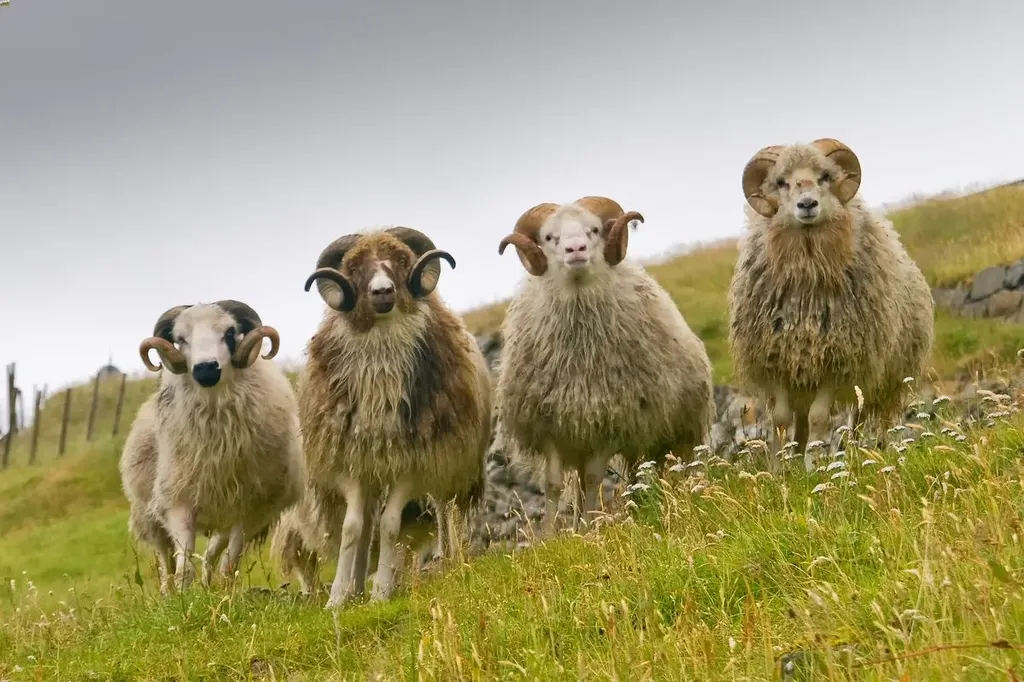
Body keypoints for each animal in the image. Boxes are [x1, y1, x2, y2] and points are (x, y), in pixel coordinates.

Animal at [117, 299, 303, 589]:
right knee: (166, 561)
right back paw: (168, 592)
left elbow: (230, 564)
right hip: (149, 515)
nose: (205, 368)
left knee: (212, 554)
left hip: (230, 518)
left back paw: (208, 586)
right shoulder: (178, 502)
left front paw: (225, 592)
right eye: (180, 339)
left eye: (229, 332)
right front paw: (182, 597)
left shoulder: (250, 509)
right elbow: (183, 567)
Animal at [299, 228, 493, 606]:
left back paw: (447, 561)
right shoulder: (354, 461)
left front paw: (381, 593)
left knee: (444, 512)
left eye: (401, 261)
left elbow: (391, 525)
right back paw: (357, 586)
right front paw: (339, 597)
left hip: (445, 463)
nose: (382, 291)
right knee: (366, 525)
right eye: (354, 268)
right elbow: (353, 527)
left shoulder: (412, 463)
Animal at [493, 196, 712, 536]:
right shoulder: (550, 425)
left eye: (594, 230)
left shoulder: (610, 424)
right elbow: (553, 484)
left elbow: (596, 479)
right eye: (549, 237)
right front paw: (550, 536)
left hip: (672, 433)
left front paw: (587, 530)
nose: (576, 249)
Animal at [729, 135, 937, 471]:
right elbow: (781, 419)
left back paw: (868, 451)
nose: (807, 204)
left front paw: (814, 466)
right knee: (807, 420)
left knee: (868, 418)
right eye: (781, 182)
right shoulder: (777, 361)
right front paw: (780, 469)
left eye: (825, 176)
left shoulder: (837, 361)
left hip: (886, 379)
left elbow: (819, 417)